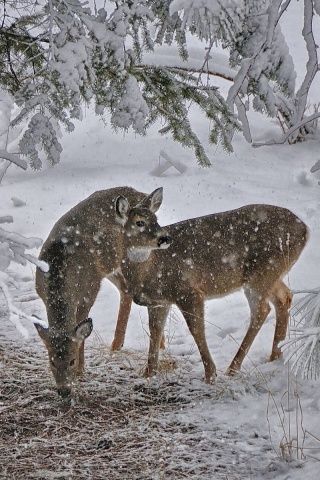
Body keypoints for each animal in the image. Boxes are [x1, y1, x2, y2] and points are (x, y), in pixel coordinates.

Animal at [34, 186, 147, 396]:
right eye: (52, 361)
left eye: (71, 360)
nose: (64, 390)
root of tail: (139, 192)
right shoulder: (41, 292)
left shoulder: (90, 289)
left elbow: (81, 327)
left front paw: (81, 370)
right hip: (111, 266)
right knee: (126, 289)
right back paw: (116, 344)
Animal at [114, 188, 308, 382]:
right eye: (140, 222)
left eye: (156, 219)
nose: (165, 238)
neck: (149, 271)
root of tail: (305, 230)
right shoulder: (158, 302)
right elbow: (155, 331)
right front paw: (148, 372)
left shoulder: (188, 291)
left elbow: (196, 329)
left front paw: (210, 374)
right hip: (271, 274)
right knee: (284, 297)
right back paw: (275, 356)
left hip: (262, 273)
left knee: (261, 310)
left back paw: (233, 368)